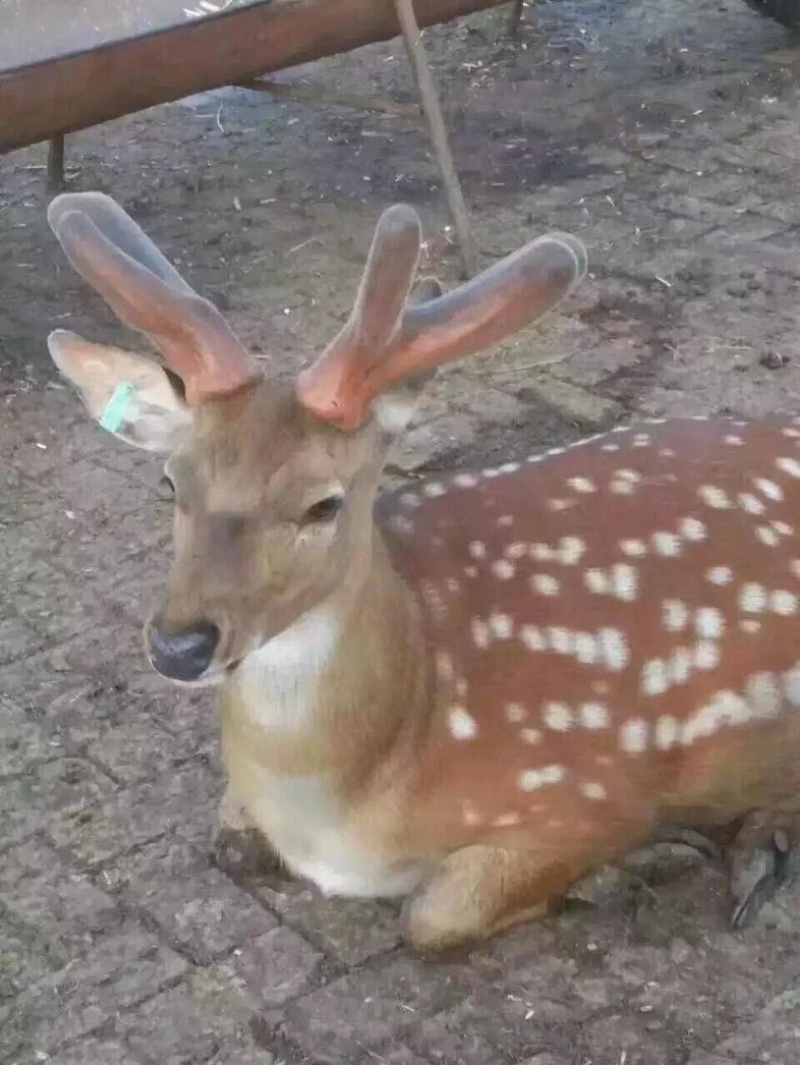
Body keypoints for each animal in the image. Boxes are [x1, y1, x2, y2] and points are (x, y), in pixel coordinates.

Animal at [46, 190, 800, 954]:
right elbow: (227, 839)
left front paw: (638, 865)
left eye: (323, 504)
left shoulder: (589, 793)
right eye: (170, 482)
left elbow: (432, 917)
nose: (179, 643)